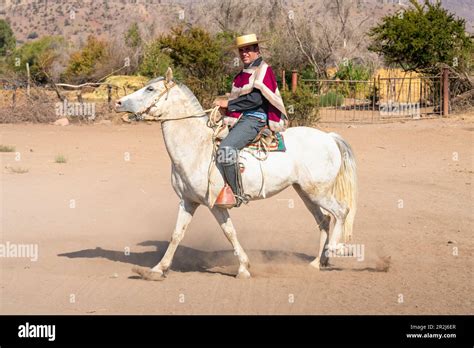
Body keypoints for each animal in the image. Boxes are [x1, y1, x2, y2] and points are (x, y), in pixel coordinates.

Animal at [115, 68, 356, 280]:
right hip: (306, 193)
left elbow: (229, 233)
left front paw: (243, 268)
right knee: (324, 220)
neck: (198, 148)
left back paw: (334, 251)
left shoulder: (216, 204)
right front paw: (157, 269)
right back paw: (317, 262)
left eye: (150, 89)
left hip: (319, 192)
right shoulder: (188, 201)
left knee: (341, 212)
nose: (118, 103)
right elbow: (177, 234)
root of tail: (329, 137)